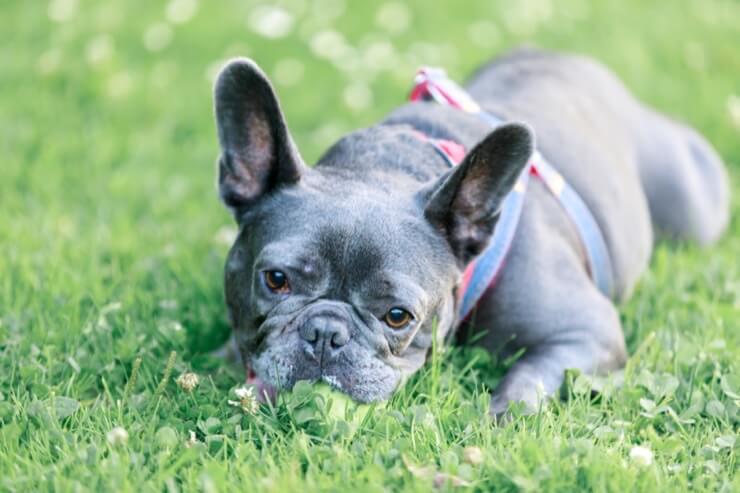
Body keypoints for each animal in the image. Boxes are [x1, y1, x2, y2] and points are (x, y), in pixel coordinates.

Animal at [211, 48, 732, 414]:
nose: (325, 333)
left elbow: (529, 378)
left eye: (398, 316)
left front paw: (501, 417)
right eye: (276, 280)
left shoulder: (587, 331)